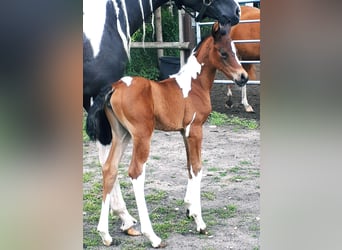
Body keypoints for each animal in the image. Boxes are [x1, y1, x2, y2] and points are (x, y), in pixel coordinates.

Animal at [84, 0, 242, 247]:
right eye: (224, 53)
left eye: (235, 50)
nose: (243, 77)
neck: (193, 84)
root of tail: (115, 87)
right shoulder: (196, 129)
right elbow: (198, 167)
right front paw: (199, 221)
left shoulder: (184, 132)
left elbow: (189, 167)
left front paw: (189, 209)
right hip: (142, 135)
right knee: (136, 172)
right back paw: (153, 236)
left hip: (121, 134)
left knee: (109, 168)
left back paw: (106, 234)